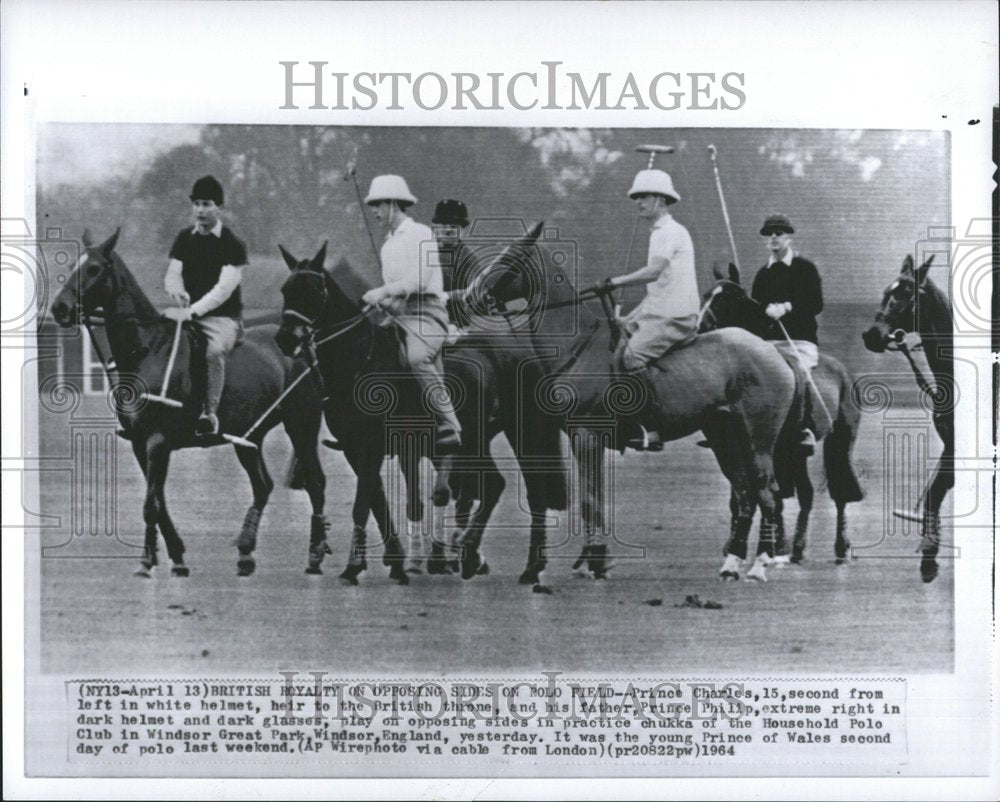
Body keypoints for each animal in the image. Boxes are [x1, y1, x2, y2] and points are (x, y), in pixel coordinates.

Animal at [50, 230, 328, 576]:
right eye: (73, 265)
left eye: (94, 269)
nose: (59, 308)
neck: (147, 350)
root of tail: (302, 349)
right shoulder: (140, 443)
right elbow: (158, 503)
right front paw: (176, 556)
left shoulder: (158, 441)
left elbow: (151, 505)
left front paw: (147, 562)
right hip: (249, 438)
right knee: (263, 485)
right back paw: (246, 552)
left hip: (302, 425)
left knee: (316, 484)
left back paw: (315, 556)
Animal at [700, 262, 864, 564]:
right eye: (707, 294)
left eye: (730, 296)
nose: (700, 326)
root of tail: (843, 371)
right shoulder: (727, 447)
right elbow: (742, 495)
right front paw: (741, 544)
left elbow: (767, 494)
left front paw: (770, 546)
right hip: (794, 452)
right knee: (802, 493)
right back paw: (793, 544)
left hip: (839, 441)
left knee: (837, 493)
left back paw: (836, 546)